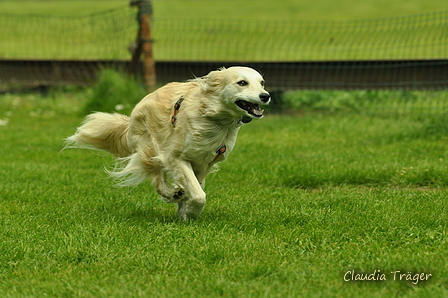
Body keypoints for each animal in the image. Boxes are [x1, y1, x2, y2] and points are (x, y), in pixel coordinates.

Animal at [65, 68, 270, 221]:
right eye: (242, 83)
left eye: (261, 82)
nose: (265, 96)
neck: (214, 119)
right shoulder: (176, 157)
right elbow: (198, 195)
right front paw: (191, 211)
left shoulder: (205, 163)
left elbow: (195, 187)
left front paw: (185, 210)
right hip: (150, 149)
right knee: (158, 181)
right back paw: (172, 194)